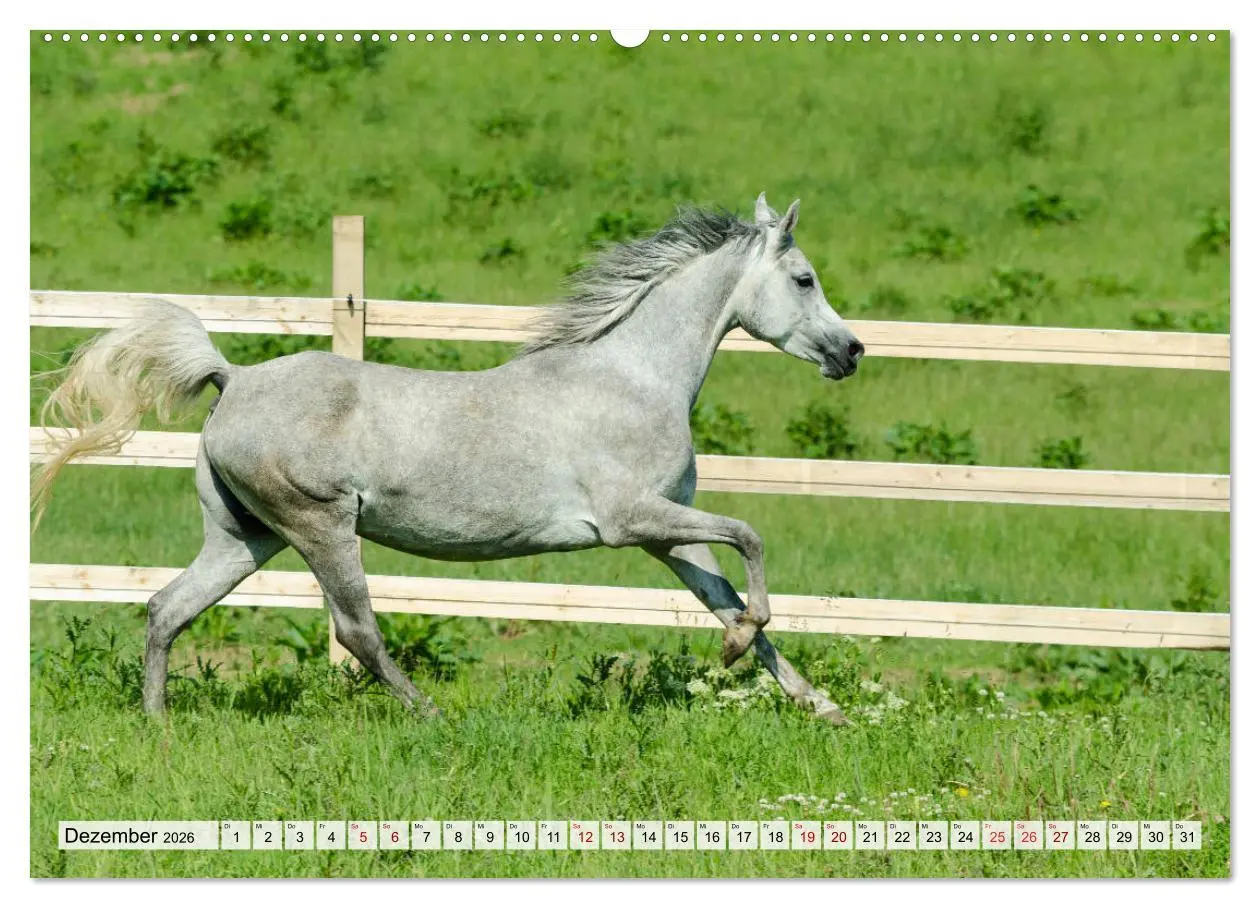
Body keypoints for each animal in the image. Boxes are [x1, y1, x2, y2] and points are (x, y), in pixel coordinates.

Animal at [33, 193, 865, 724]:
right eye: (804, 279)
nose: (851, 351)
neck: (631, 375)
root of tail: (232, 378)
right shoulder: (634, 520)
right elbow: (751, 540)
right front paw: (743, 647)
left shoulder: (668, 532)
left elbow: (725, 595)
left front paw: (819, 705)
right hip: (321, 527)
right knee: (356, 631)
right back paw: (431, 716)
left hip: (246, 537)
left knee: (167, 608)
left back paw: (159, 725)